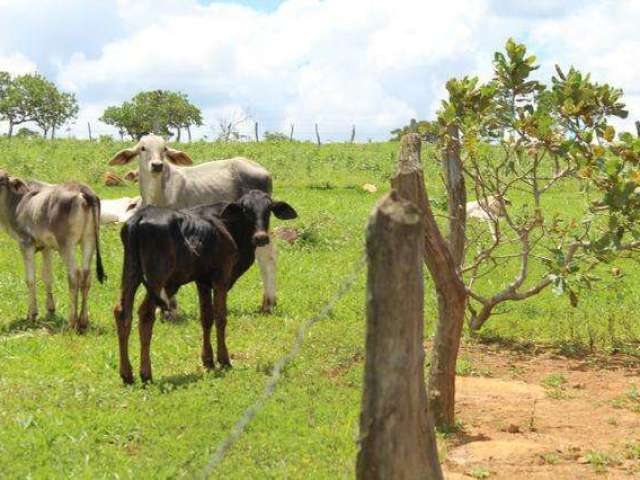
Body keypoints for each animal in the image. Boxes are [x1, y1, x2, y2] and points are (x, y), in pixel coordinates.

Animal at [0, 169, 105, 330]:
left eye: (1, 181)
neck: (17, 203)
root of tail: (83, 190)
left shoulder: (25, 243)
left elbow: (30, 280)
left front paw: (31, 315)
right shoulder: (46, 247)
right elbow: (47, 277)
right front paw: (50, 310)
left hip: (67, 244)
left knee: (74, 275)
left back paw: (72, 322)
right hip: (89, 240)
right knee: (86, 275)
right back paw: (83, 321)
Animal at [109, 135, 278, 316]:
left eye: (164, 149)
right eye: (142, 148)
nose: (157, 165)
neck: (159, 195)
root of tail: (263, 171)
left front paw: (171, 309)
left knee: (267, 255)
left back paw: (269, 304)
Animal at [112, 189, 298, 384]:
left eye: (268, 209)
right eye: (245, 210)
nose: (261, 237)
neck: (228, 226)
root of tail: (140, 217)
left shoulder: (202, 281)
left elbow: (206, 317)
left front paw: (208, 360)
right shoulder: (221, 278)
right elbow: (220, 317)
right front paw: (224, 360)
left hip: (131, 272)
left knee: (122, 312)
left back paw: (127, 374)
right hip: (157, 278)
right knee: (145, 315)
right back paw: (145, 373)